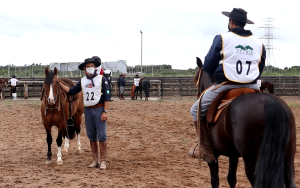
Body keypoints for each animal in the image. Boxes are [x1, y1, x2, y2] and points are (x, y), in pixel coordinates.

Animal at [195, 57, 296, 188]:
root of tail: (269, 101)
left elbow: (215, 180)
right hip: (288, 158)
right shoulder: (232, 154)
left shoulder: (214, 157)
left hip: (251, 161)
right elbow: (231, 179)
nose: (198, 95)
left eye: (196, 78)